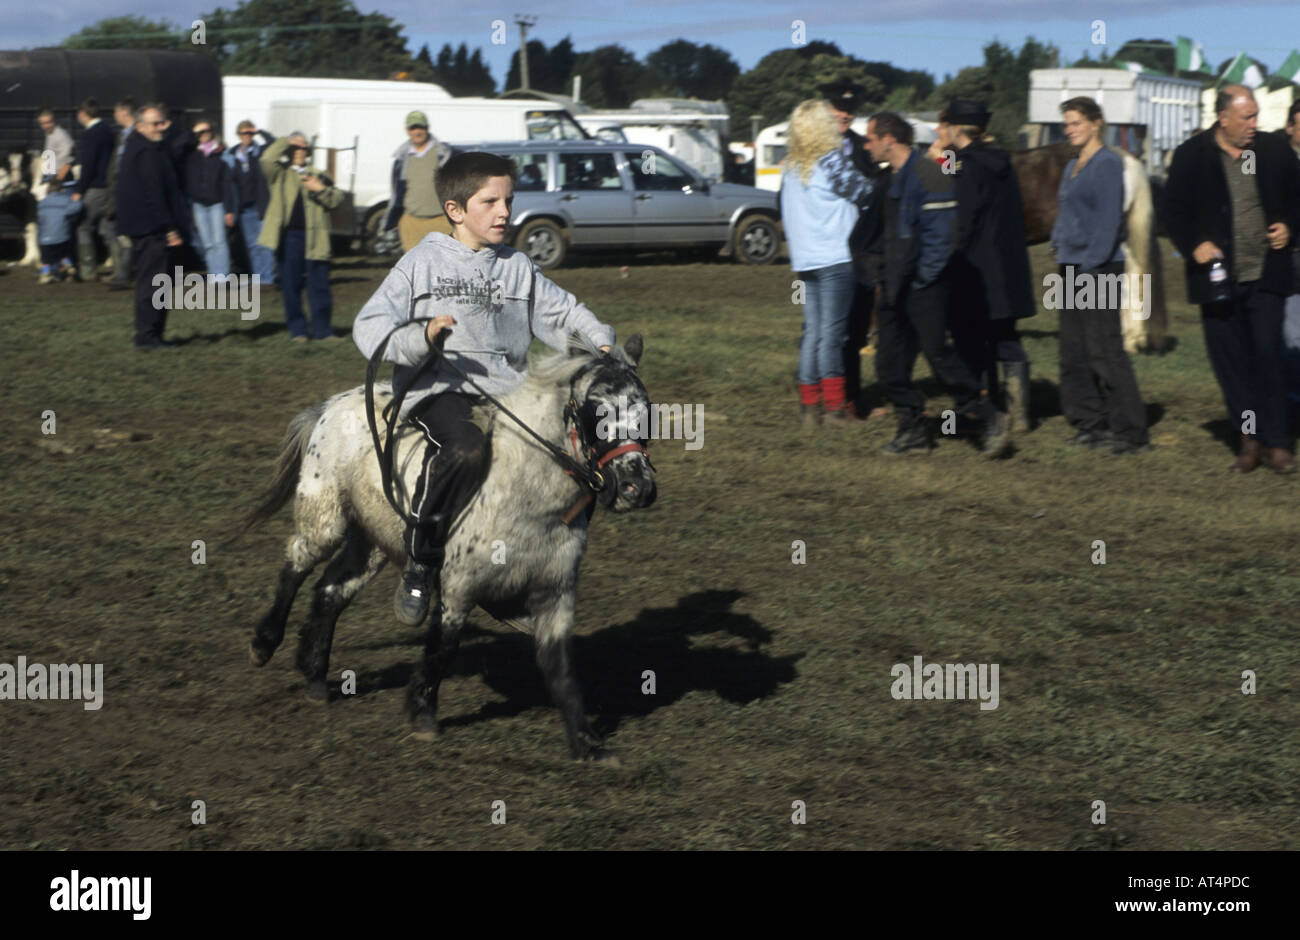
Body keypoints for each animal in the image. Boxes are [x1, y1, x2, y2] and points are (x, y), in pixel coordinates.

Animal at [240, 335, 655, 759]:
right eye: (596, 410)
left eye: (646, 410)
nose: (636, 488)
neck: (527, 491)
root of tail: (330, 405)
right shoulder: (458, 585)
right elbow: (445, 644)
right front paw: (422, 714)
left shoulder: (556, 590)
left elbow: (560, 665)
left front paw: (585, 740)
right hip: (325, 516)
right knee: (296, 564)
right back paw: (264, 644)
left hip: (371, 540)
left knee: (330, 590)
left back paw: (314, 678)